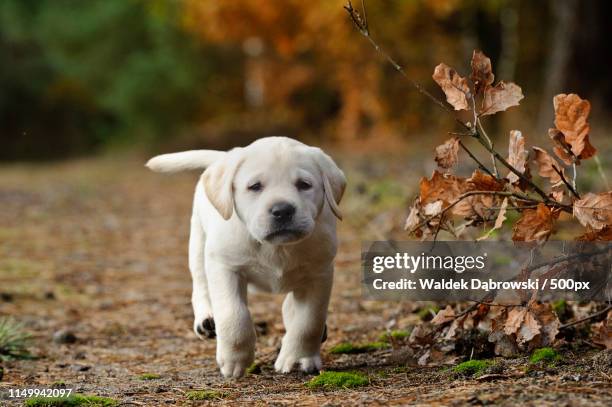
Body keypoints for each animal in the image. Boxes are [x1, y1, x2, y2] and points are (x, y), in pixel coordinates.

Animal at [144, 138, 344, 380]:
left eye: (304, 184)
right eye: (255, 186)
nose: (283, 210)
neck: (275, 247)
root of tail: (223, 156)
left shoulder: (319, 272)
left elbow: (309, 321)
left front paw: (298, 358)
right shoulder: (225, 267)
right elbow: (233, 315)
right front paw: (234, 360)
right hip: (199, 243)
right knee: (200, 285)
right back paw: (206, 320)